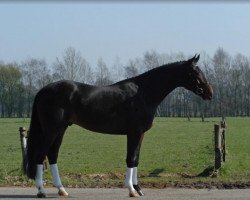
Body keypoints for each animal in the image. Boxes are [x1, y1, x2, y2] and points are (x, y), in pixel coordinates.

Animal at [24, 54, 213, 197]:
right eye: (195, 72)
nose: (210, 93)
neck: (143, 93)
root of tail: (43, 90)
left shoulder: (140, 134)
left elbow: (136, 158)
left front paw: (138, 188)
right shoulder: (134, 132)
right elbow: (131, 158)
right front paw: (131, 190)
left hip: (61, 129)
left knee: (52, 155)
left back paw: (62, 190)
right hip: (51, 129)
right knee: (41, 155)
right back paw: (41, 190)